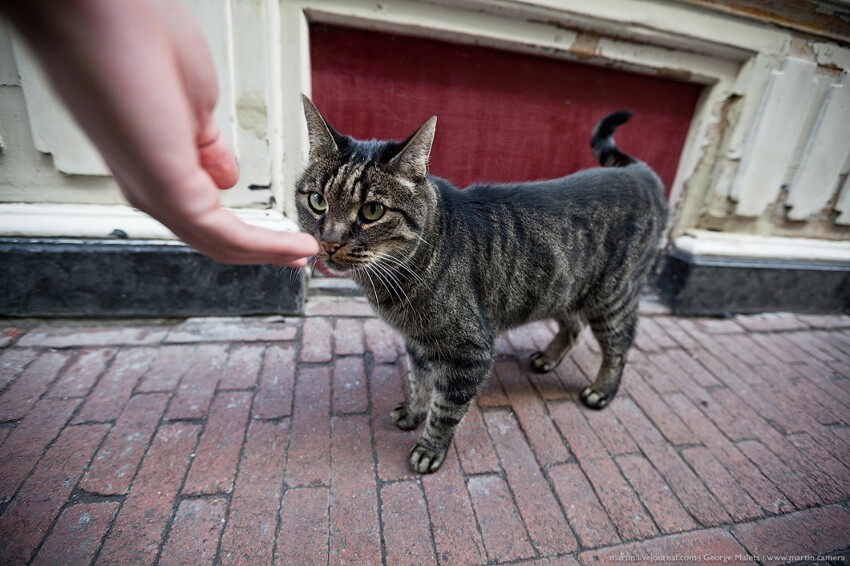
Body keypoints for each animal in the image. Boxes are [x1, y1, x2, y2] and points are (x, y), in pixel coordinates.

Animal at [294, 97, 664, 474]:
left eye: (372, 211)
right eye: (317, 200)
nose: (330, 242)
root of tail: (639, 173)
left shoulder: (470, 353)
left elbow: (445, 409)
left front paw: (430, 449)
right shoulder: (417, 342)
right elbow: (419, 382)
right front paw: (413, 412)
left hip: (611, 297)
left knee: (620, 344)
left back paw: (602, 390)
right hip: (560, 288)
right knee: (573, 327)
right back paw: (548, 358)